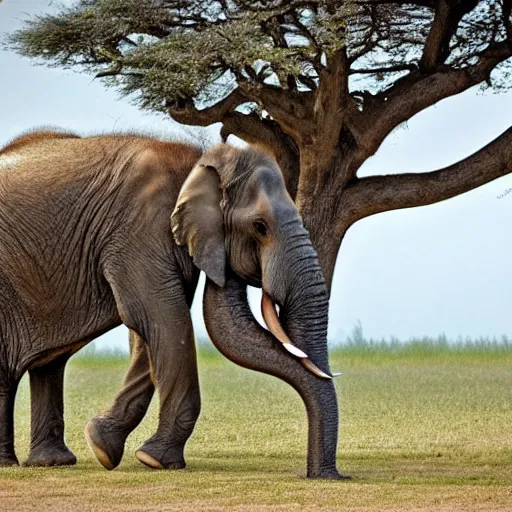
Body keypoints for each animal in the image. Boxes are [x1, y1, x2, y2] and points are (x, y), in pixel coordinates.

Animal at [1, 129, 344, 480]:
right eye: (260, 227)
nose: (327, 476)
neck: (200, 164)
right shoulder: (139, 230)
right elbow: (164, 320)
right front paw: (156, 461)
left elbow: (149, 332)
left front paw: (103, 447)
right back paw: (10, 464)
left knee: (49, 363)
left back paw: (50, 462)